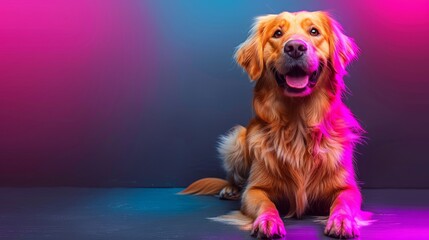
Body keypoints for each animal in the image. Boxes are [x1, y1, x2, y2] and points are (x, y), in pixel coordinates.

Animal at [181, 10, 364, 238]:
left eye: (314, 31)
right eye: (277, 33)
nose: (295, 47)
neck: (298, 124)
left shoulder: (348, 189)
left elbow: (343, 203)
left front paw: (342, 220)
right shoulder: (254, 190)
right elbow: (265, 203)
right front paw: (268, 221)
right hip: (236, 140)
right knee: (234, 178)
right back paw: (230, 189)